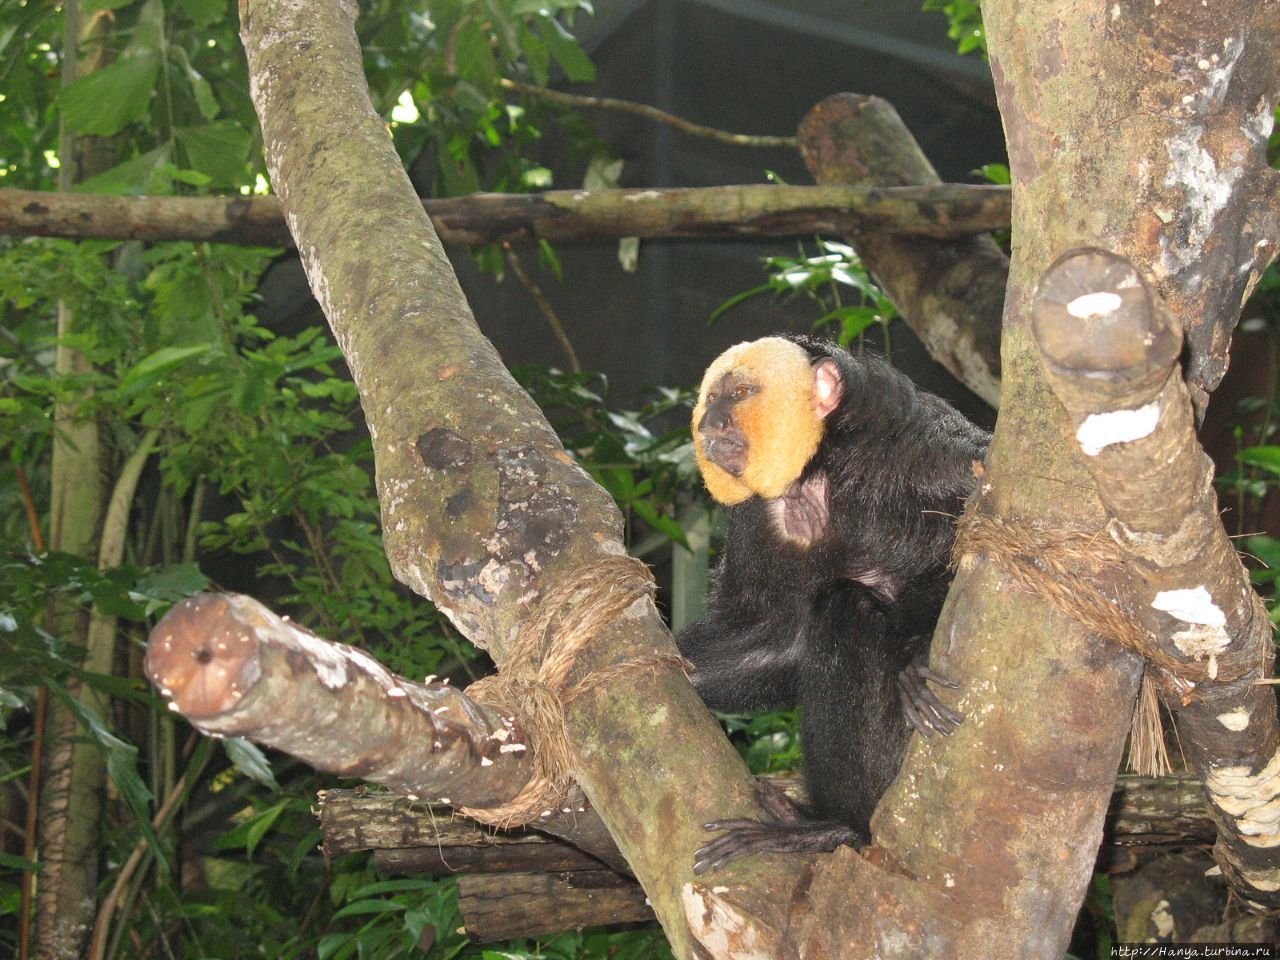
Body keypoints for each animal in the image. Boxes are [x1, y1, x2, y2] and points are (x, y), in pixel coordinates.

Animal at [680, 335, 988, 875]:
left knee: (845, 605)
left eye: (738, 394)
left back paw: (839, 826)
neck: (824, 468)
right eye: (710, 401)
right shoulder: (757, 521)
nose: (709, 424)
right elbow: (779, 638)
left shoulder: (924, 455)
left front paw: (917, 654)